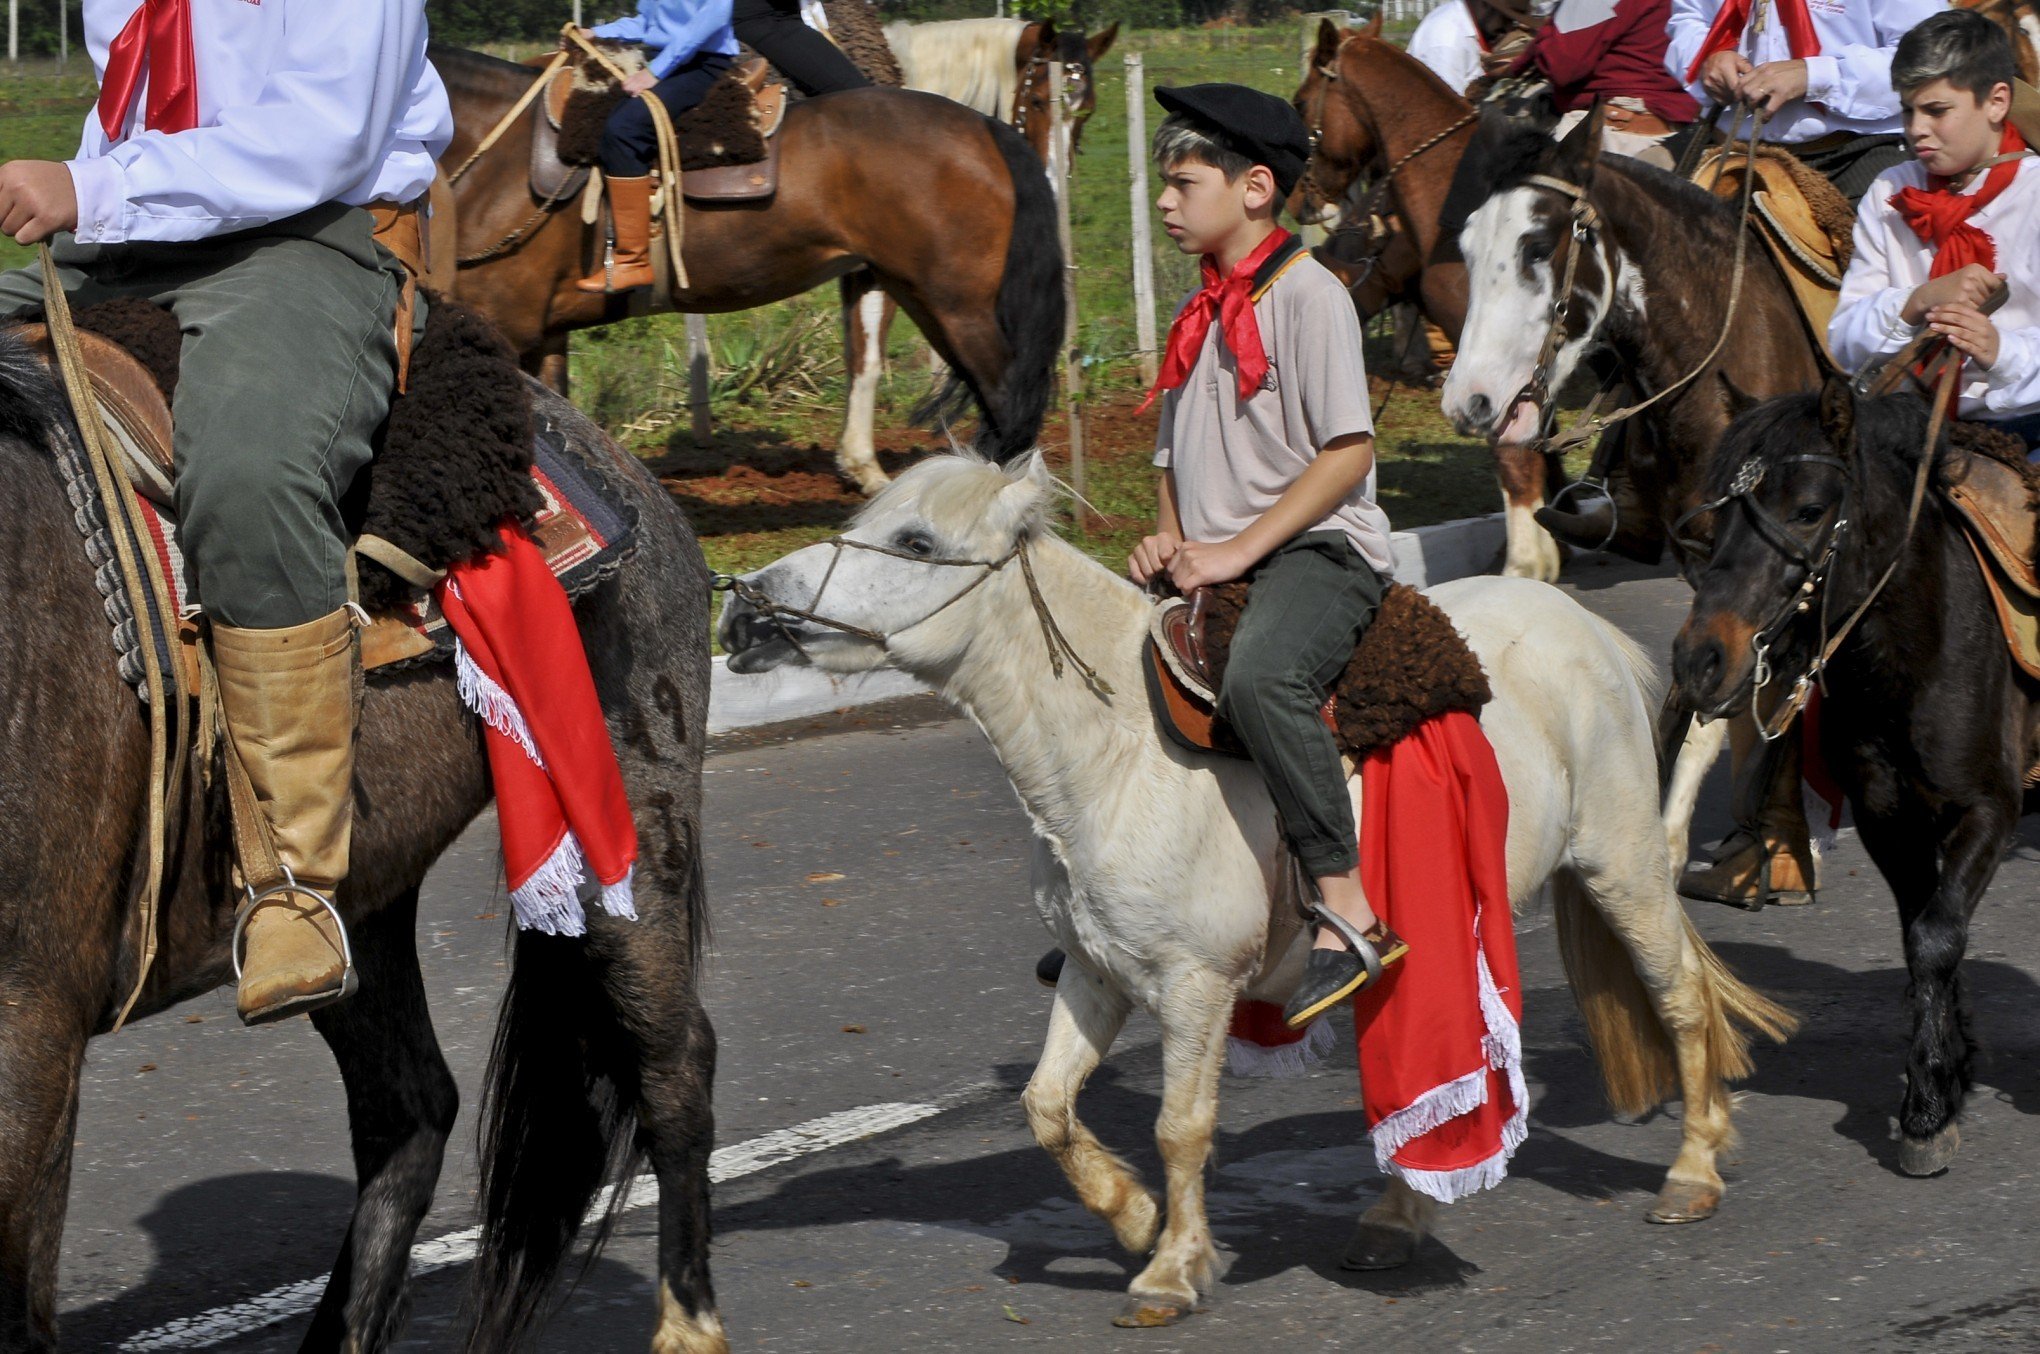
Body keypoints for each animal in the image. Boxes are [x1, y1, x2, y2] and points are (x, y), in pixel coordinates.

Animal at [0, 330, 726, 1354]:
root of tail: (611, 461)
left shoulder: (29, 1025)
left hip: (625, 833)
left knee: (673, 1062)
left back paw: (689, 1325)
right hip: (354, 910)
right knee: (411, 1112)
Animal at [436, 42, 1060, 497]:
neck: (499, 157)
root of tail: (985, 129)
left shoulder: (506, 325)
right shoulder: (544, 336)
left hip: (959, 303)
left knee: (1006, 396)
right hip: (915, 291)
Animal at [714, 454, 1787, 1321]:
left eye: (915, 540)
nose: (744, 608)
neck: (1116, 753)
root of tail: (1593, 634)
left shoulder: (1198, 986)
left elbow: (1180, 1127)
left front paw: (1172, 1267)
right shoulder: (1097, 973)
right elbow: (1047, 1106)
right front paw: (1132, 1215)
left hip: (1623, 862)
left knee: (1681, 1000)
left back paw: (1694, 1170)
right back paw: (1396, 1220)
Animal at [1672, 377, 2040, 1174]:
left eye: (1810, 510)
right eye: (1720, 514)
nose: (1700, 660)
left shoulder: (1989, 810)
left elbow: (1937, 935)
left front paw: (1928, 1109)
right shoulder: (1885, 814)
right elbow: (1922, 932)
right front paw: (1947, 1075)